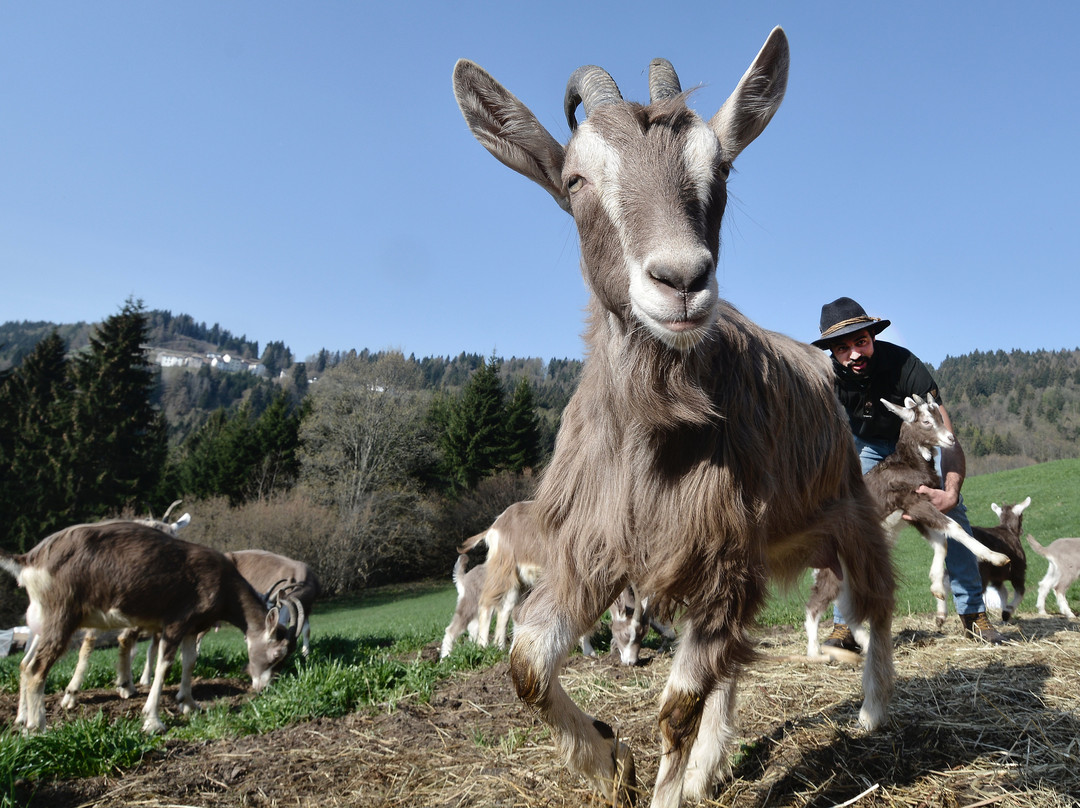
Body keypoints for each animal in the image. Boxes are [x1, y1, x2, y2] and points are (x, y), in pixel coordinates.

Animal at [2, 520, 291, 734]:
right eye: (276, 654)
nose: (264, 688)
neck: (223, 584)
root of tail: (30, 559)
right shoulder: (176, 621)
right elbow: (165, 664)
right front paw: (153, 720)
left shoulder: (192, 626)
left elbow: (190, 661)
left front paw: (189, 703)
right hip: (61, 616)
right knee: (36, 668)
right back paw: (38, 726)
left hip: (41, 621)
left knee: (24, 664)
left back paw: (22, 720)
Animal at [457, 28, 902, 803]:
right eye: (575, 181)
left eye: (719, 167)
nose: (683, 280)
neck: (654, 435)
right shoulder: (595, 549)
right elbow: (528, 663)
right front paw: (610, 757)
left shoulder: (721, 550)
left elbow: (676, 706)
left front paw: (658, 778)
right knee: (733, 658)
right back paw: (707, 769)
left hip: (846, 509)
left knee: (871, 602)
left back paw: (873, 710)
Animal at [807, 395, 1015, 656]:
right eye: (926, 421)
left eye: (939, 416)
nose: (950, 438)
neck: (910, 464)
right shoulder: (913, 502)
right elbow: (953, 528)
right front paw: (996, 556)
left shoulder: (913, 513)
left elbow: (942, 542)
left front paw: (938, 594)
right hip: (835, 568)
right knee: (814, 605)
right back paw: (815, 653)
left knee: (846, 606)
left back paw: (865, 643)